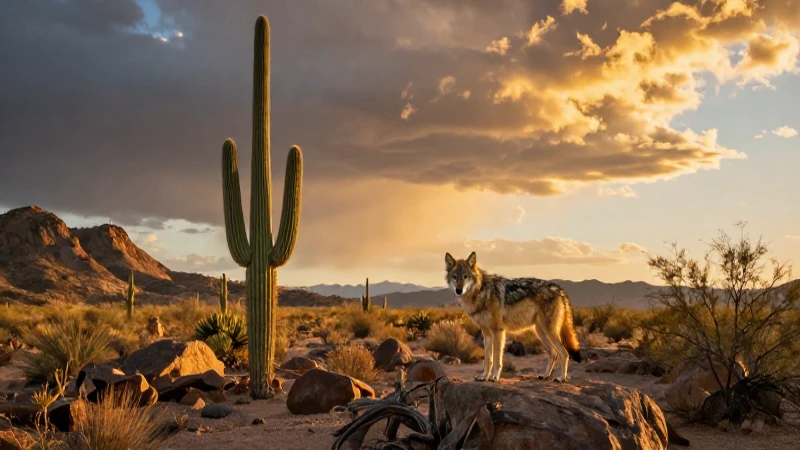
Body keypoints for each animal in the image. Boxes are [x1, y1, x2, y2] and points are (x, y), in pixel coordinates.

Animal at [445, 251, 582, 382]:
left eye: (465, 276)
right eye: (455, 277)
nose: (458, 290)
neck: (481, 292)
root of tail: (559, 289)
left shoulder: (498, 331)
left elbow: (497, 359)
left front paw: (494, 377)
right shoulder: (487, 334)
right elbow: (488, 359)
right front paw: (483, 376)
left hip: (549, 332)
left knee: (564, 354)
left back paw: (561, 378)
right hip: (541, 332)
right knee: (554, 354)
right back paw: (545, 376)